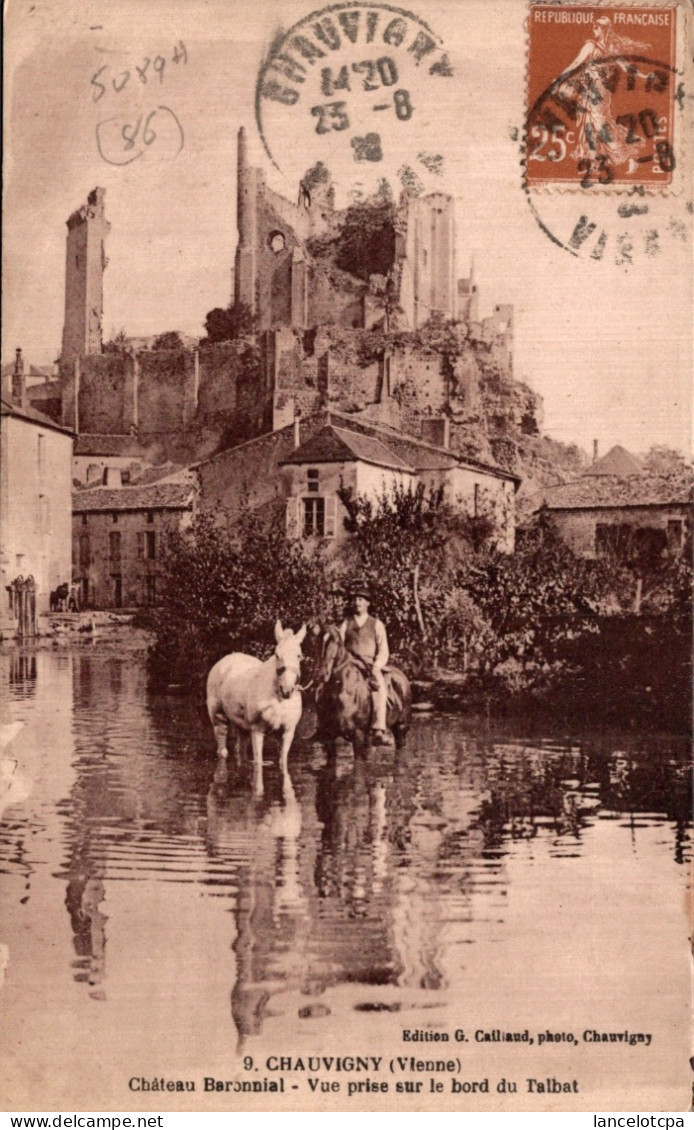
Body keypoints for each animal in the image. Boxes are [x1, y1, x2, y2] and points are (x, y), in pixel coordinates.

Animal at [316, 623, 413, 754]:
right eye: (317, 640)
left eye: (336, 642)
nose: (323, 673)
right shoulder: (329, 738)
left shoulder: (358, 736)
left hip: (401, 728)